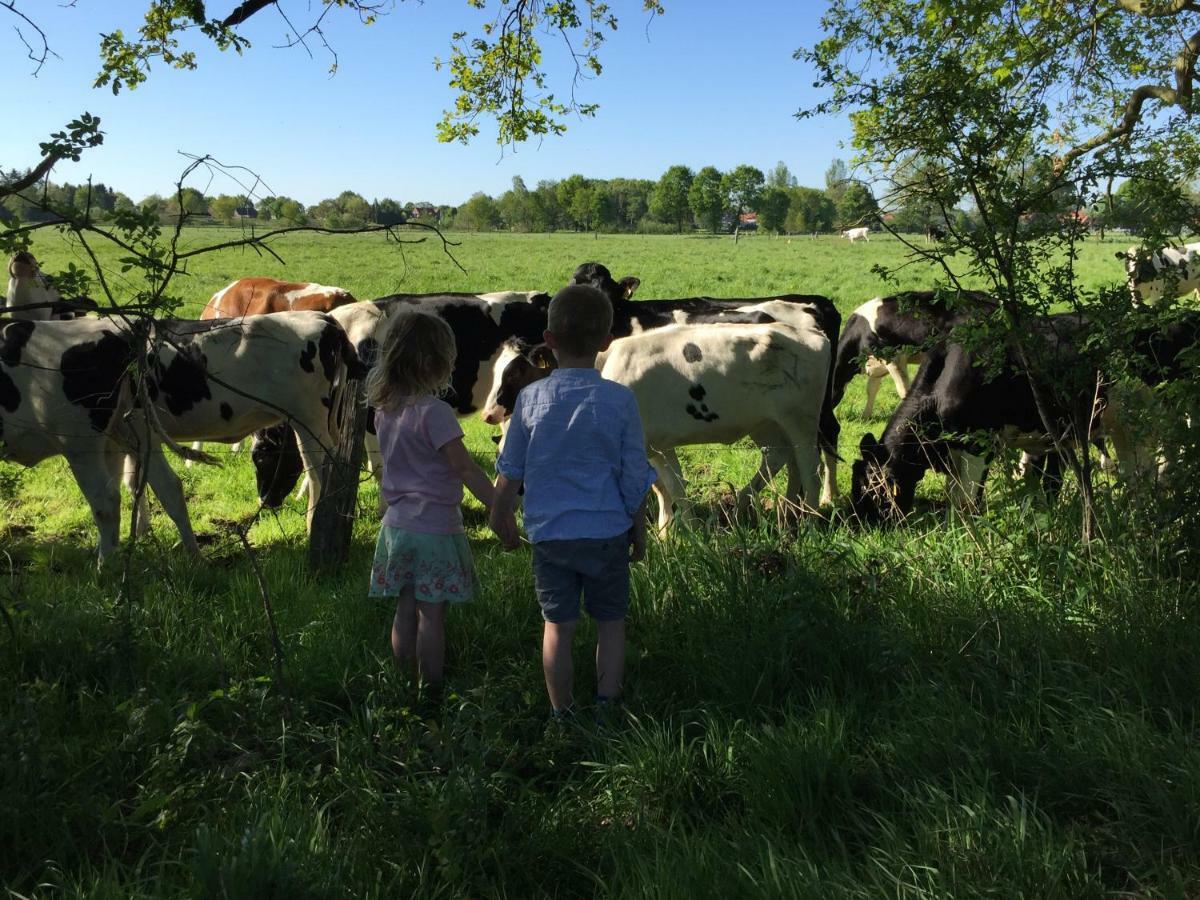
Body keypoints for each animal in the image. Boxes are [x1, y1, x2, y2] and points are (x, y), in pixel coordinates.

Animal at [0, 314, 204, 561]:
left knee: (106, 502)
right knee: (168, 486)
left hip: (80, 444)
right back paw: (194, 556)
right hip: (135, 431)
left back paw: (104, 567)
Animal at [482, 319, 830, 532]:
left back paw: (809, 524)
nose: (487, 413)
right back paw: (783, 513)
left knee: (809, 470)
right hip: (768, 423)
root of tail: (811, 334)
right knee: (782, 459)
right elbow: (665, 486)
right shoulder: (657, 445)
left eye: (514, 373)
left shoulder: (647, 444)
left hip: (800, 421)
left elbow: (671, 486)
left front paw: (687, 531)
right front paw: (667, 530)